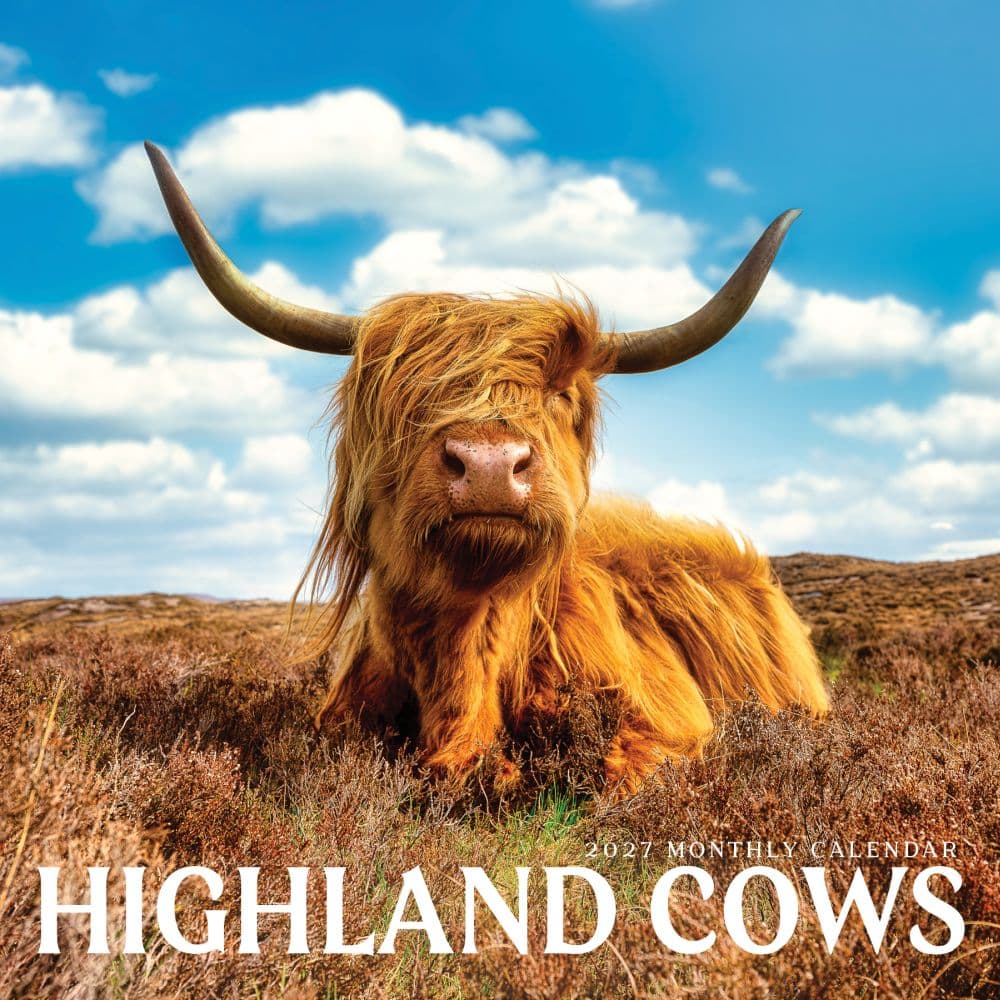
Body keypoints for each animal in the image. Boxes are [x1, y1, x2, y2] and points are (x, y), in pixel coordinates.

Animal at [146, 142, 829, 799]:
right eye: (405, 396)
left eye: (560, 394)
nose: (491, 465)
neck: (464, 657)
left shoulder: (671, 726)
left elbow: (626, 778)